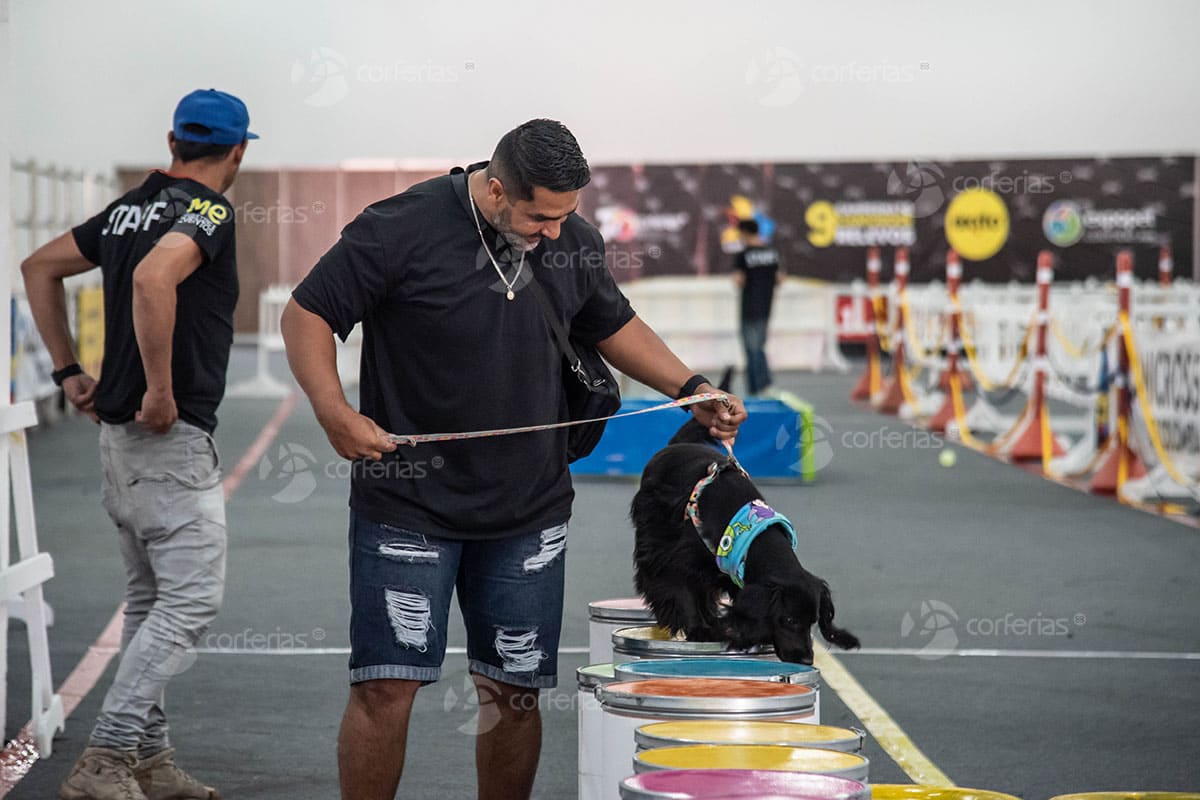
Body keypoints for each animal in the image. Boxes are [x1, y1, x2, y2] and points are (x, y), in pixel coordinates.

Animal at [630, 386, 859, 665]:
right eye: (789, 619)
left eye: (812, 621)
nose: (805, 660)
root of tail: (677, 445)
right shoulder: (678, 560)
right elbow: (680, 591)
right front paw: (702, 629)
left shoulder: (731, 571)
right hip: (653, 530)